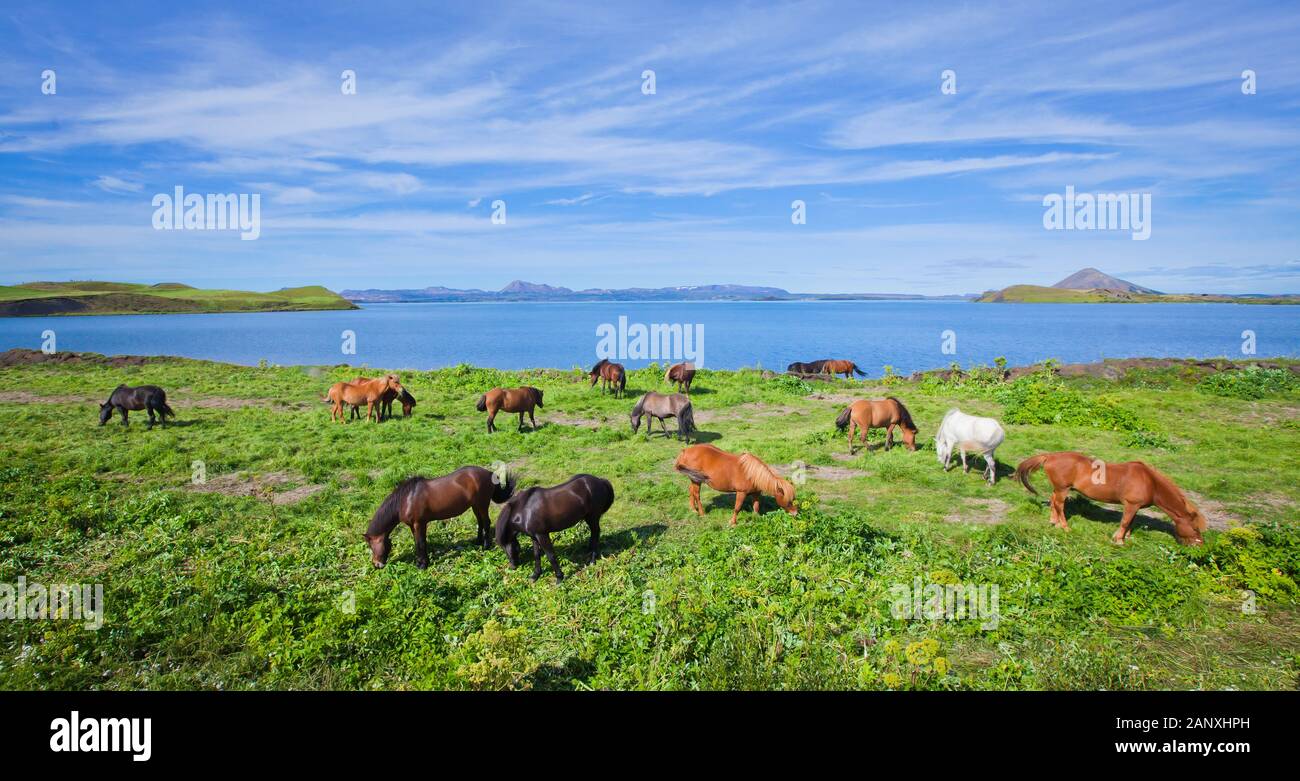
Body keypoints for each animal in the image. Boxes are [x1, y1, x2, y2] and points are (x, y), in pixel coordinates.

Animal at [364, 466, 517, 569]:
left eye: (371, 546)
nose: (376, 565)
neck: (406, 499)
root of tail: (489, 473)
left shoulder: (420, 524)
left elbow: (421, 543)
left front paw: (423, 565)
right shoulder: (413, 526)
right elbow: (417, 543)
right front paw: (419, 562)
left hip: (482, 504)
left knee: (486, 522)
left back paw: (485, 546)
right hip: (475, 506)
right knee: (479, 522)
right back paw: (477, 541)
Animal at [1015, 451, 1208, 545]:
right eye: (1195, 528)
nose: (1199, 545)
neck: (1150, 482)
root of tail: (1050, 456)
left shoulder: (1135, 507)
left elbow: (1130, 522)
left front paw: (1127, 537)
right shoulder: (1130, 504)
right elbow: (1125, 521)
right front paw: (1119, 539)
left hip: (1060, 488)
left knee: (1054, 501)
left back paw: (1053, 522)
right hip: (1063, 489)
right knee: (1060, 505)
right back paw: (1065, 527)